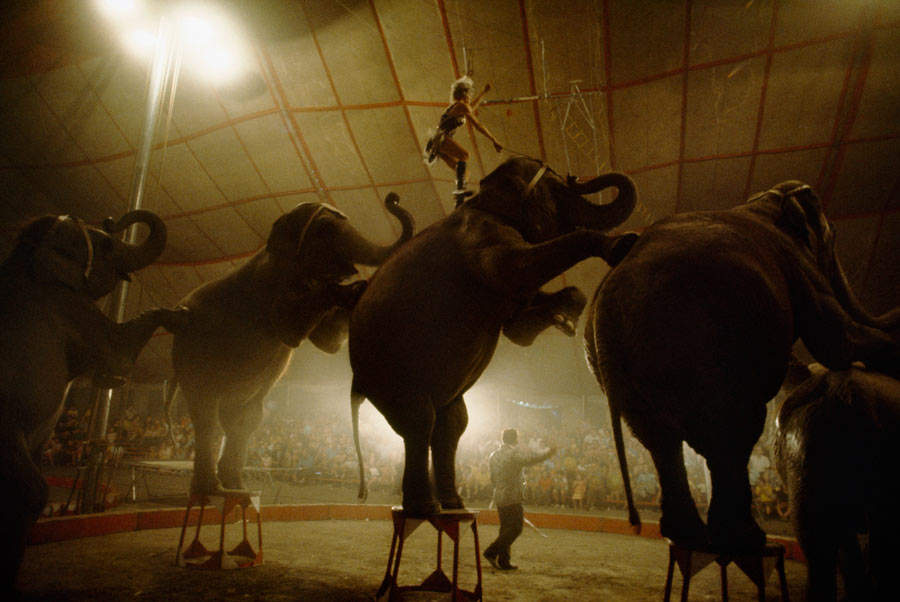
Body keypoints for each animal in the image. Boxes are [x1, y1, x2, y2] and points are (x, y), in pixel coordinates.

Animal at [166, 195, 414, 494]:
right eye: (325, 231)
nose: (393, 198)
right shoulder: (272, 282)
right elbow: (289, 329)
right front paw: (352, 288)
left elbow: (327, 342)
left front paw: (356, 292)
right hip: (191, 361)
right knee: (207, 416)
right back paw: (212, 491)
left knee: (244, 419)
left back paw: (237, 487)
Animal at [348, 156, 636, 516]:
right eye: (556, 191)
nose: (575, 175)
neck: (479, 200)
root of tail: (355, 383)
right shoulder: (481, 236)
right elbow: (511, 268)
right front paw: (622, 245)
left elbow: (522, 307)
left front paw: (556, 321)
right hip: (389, 376)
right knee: (420, 422)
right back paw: (424, 509)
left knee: (452, 425)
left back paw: (453, 505)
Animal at [584, 179, 900, 552]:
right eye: (830, 235)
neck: (762, 203)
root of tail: (606, 307)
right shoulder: (798, 263)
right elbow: (836, 341)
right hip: (703, 349)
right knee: (734, 431)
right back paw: (742, 538)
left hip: (625, 369)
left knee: (662, 440)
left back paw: (692, 537)